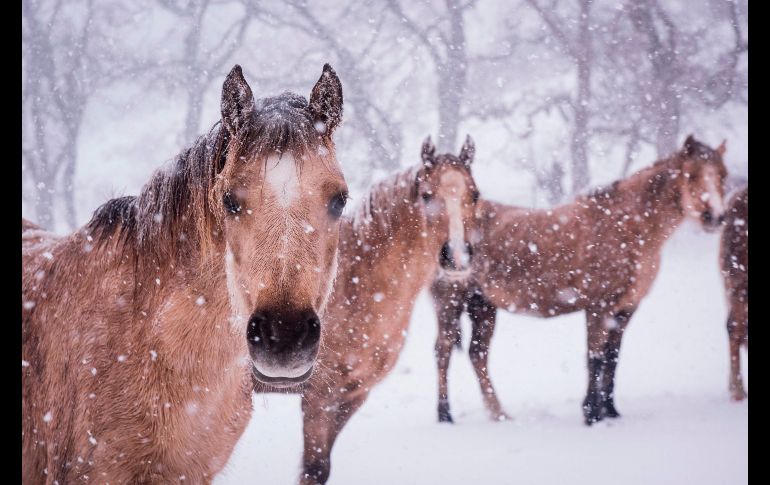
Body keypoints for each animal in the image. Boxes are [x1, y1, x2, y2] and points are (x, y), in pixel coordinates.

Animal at [254, 135, 480, 484]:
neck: (357, 281)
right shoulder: (318, 396)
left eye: (475, 194)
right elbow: (314, 469)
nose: (457, 257)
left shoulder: (353, 394)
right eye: (427, 195)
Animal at [432, 135, 728, 424]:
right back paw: (445, 415)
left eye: (722, 175)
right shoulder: (598, 307)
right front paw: (591, 414)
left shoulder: (625, 309)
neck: (628, 228)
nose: (715, 217)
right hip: (450, 303)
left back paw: (499, 414)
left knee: (477, 355)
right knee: (443, 351)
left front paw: (611, 411)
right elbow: (595, 358)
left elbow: (612, 358)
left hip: (482, 306)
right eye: (692, 175)